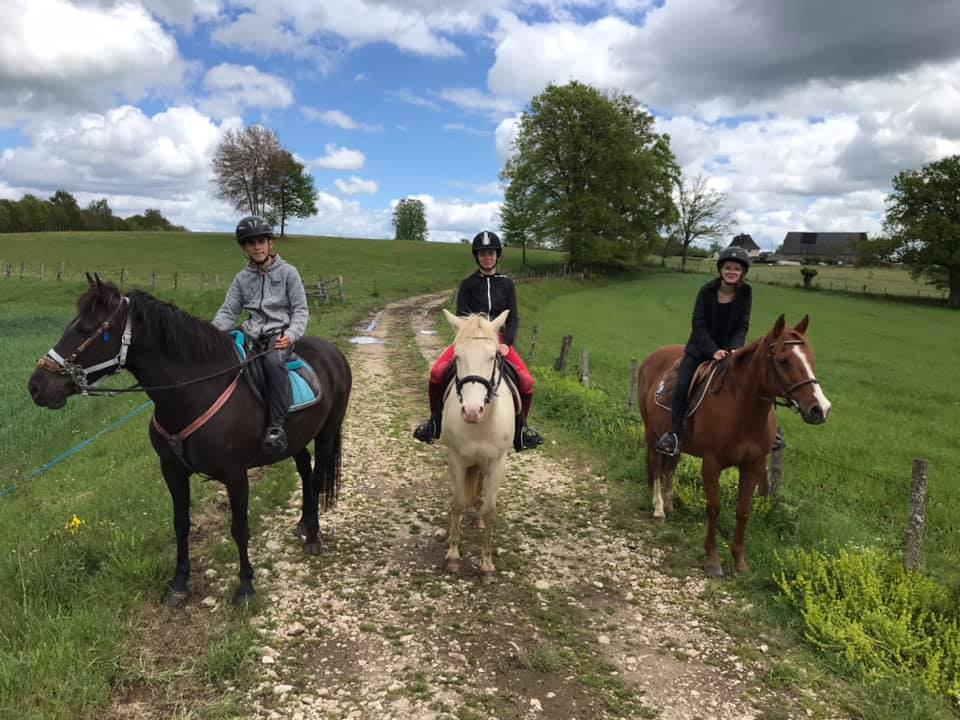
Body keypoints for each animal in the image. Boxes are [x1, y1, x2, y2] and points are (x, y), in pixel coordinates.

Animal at [28, 275, 351, 606]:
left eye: (85, 329)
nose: (37, 386)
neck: (194, 393)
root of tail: (333, 353)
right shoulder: (172, 470)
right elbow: (181, 524)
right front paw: (179, 584)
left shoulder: (236, 475)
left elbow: (240, 528)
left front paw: (246, 587)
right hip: (297, 438)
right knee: (305, 470)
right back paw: (302, 524)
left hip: (327, 432)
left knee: (316, 478)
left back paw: (313, 537)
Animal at [439, 309, 515, 581]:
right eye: (457, 356)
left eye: (492, 356)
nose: (472, 411)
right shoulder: (456, 459)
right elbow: (458, 503)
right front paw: (452, 555)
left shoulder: (498, 463)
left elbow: (491, 511)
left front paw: (487, 564)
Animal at [638, 314, 831, 577]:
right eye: (783, 360)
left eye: (811, 359)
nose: (820, 409)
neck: (741, 408)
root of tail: (653, 356)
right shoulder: (711, 463)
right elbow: (714, 507)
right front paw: (713, 559)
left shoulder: (754, 465)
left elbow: (743, 511)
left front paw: (740, 561)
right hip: (652, 432)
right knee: (657, 466)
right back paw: (658, 508)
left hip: (675, 441)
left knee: (671, 466)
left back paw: (668, 503)